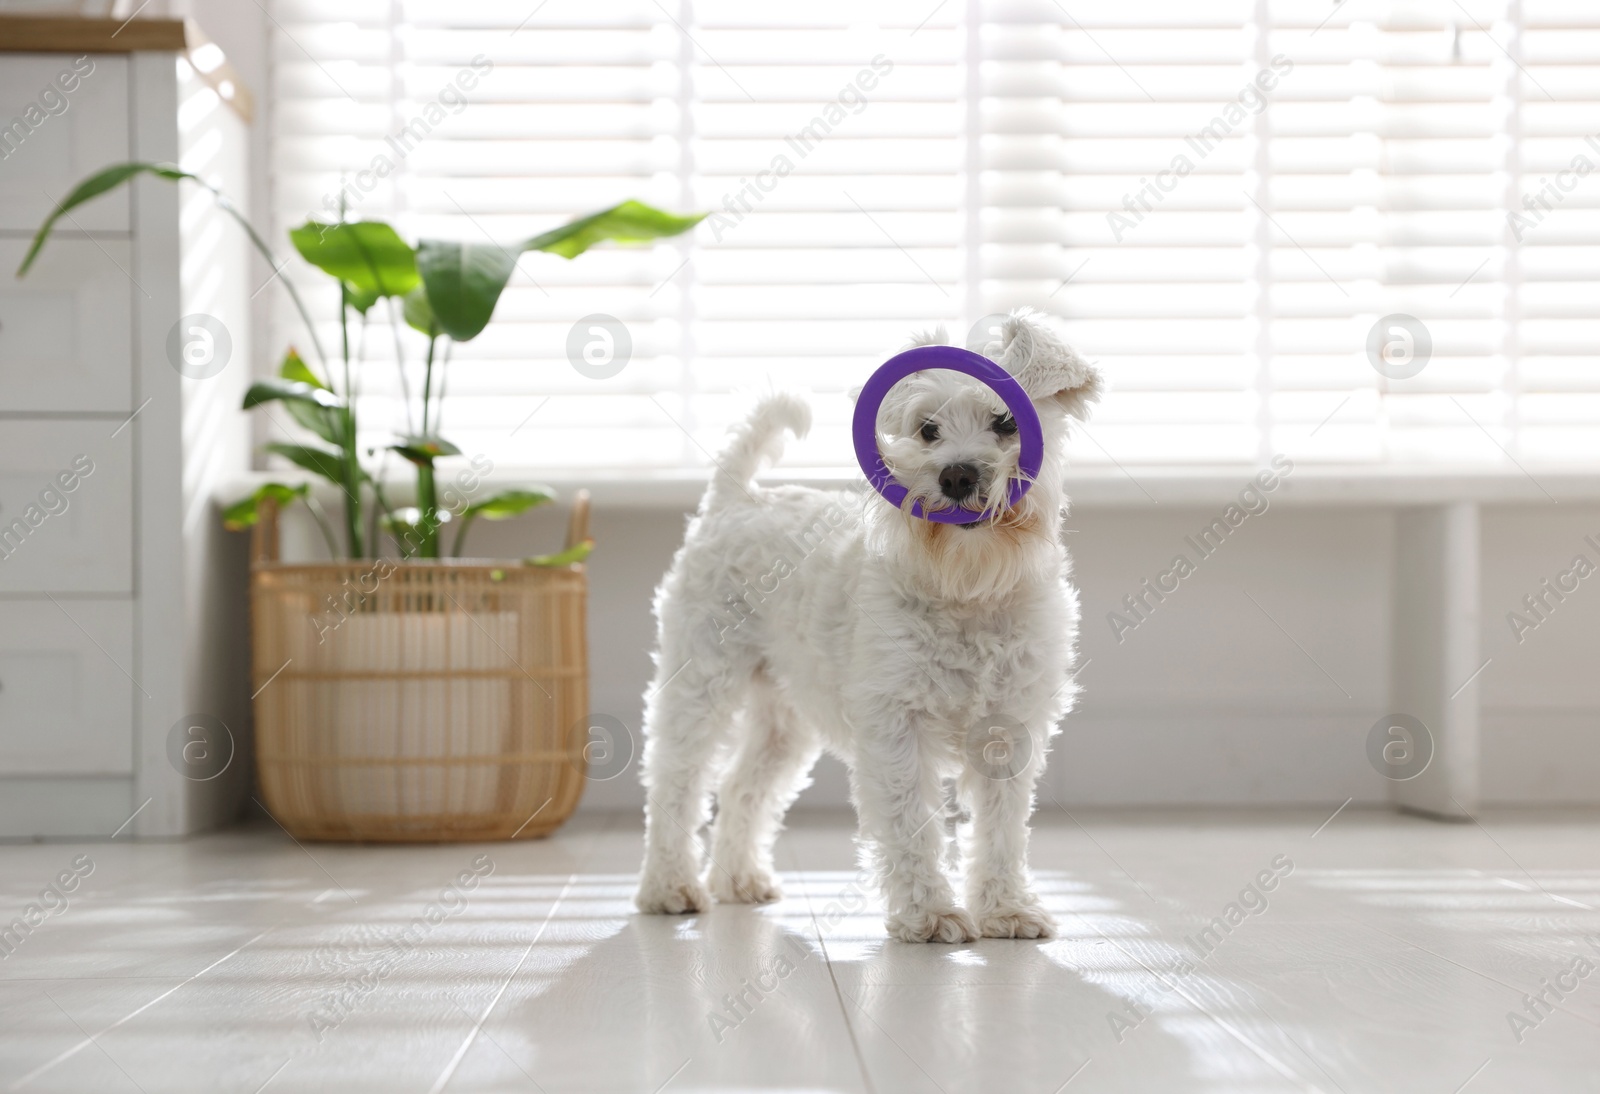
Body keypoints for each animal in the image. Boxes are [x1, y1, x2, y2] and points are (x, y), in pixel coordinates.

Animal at [633, 307, 1100, 940]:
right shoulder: (895, 727)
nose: (957, 476)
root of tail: (736, 500)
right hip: (700, 686)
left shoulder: (1007, 732)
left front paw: (1006, 909)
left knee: (741, 785)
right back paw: (669, 887)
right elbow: (910, 825)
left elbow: (1001, 832)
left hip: (784, 718)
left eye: (1006, 421)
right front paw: (930, 915)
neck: (966, 588)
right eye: (927, 429)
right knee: (677, 781)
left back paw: (739, 880)